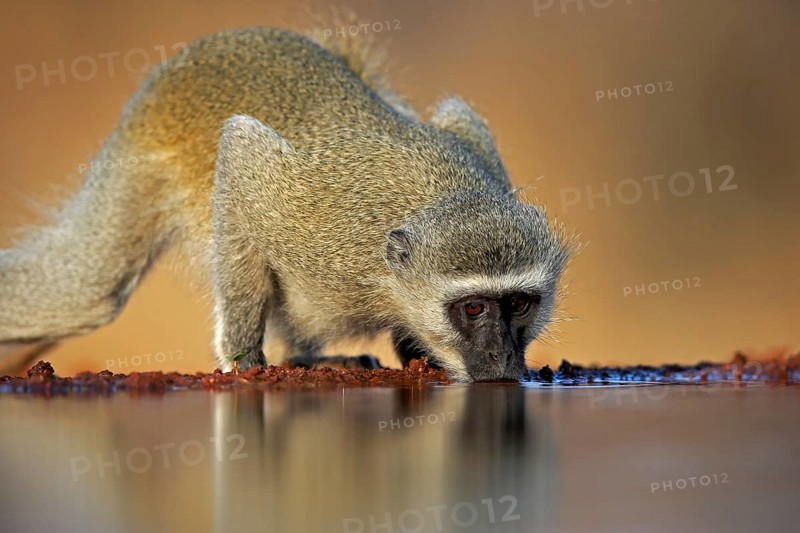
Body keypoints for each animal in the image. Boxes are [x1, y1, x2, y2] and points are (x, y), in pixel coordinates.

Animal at [0, 26, 571, 382]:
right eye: (473, 308)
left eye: (519, 304)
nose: (501, 354)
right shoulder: (311, 222)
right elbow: (241, 151)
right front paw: (245, 361)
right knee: (88, 295)